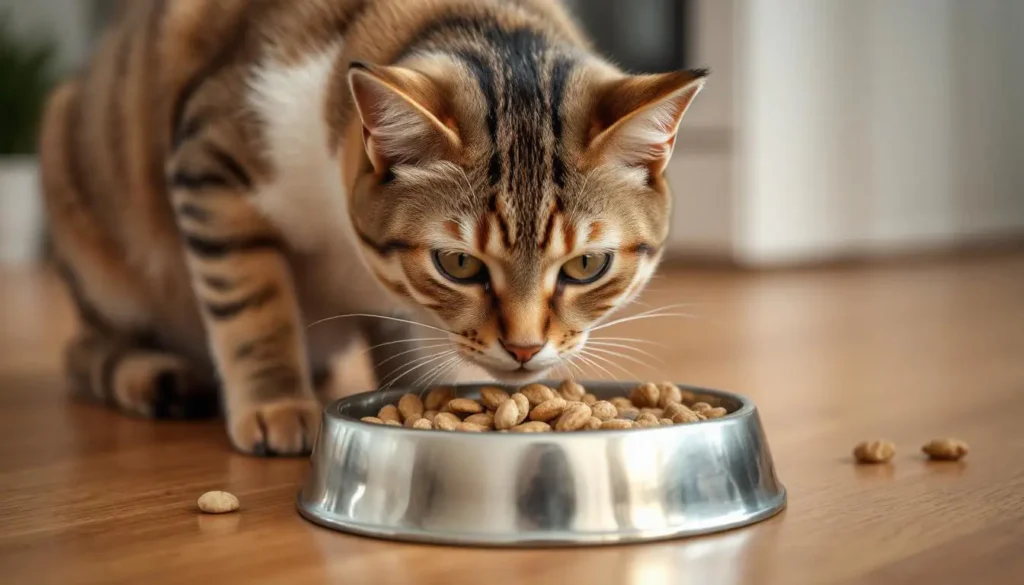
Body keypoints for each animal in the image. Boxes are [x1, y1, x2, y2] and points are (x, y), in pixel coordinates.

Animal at [39, 0, 704, 456]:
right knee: (81, 351)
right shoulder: (210, 161)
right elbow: (252, 308)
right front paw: (277, 403)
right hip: (84, 209)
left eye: (586, 265)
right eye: (458, 263)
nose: (523, 349)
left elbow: (406, 340)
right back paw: (159, 379)